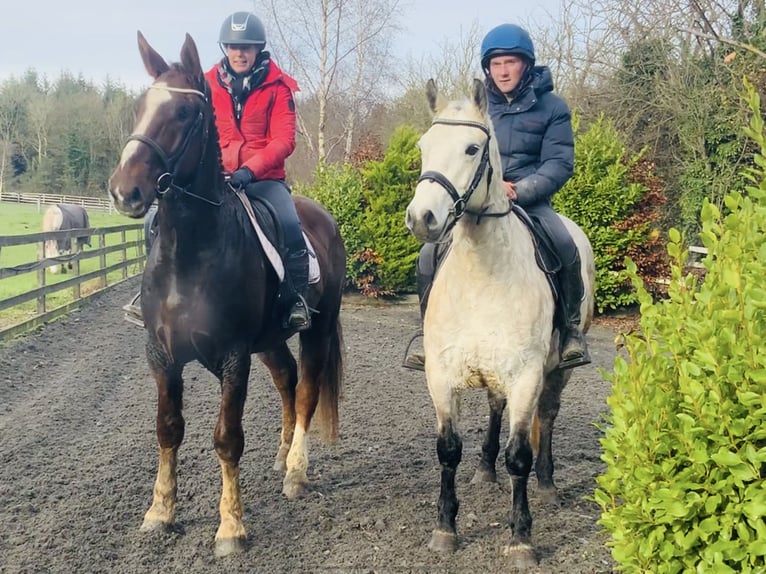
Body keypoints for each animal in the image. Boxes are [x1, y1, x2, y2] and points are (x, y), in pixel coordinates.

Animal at [108, 31, 348, 560]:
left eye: (183, 114)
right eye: (139, 108)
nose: (123, 191)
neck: (189, 256)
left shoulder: (234, 357)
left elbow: (227, 439)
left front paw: (231, 527)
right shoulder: (161, 356)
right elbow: (168, 428)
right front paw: (160, 512)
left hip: (317, 328)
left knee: (306, 390)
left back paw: (296, 471)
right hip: (271, 341)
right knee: (286, 379)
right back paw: (282, 454)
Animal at [404, 81, 596, 572]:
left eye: (472, 149)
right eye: (423, 147)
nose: (422, 219)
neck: (482, 274)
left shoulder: (527, 375)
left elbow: (520, 456)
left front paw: (521, 538)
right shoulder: (440, 376)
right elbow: (448, 450)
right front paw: (445, 529)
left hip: (556, 371)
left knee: (547, 418)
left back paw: (547, 485)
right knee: (494, 408)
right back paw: (485, 469)